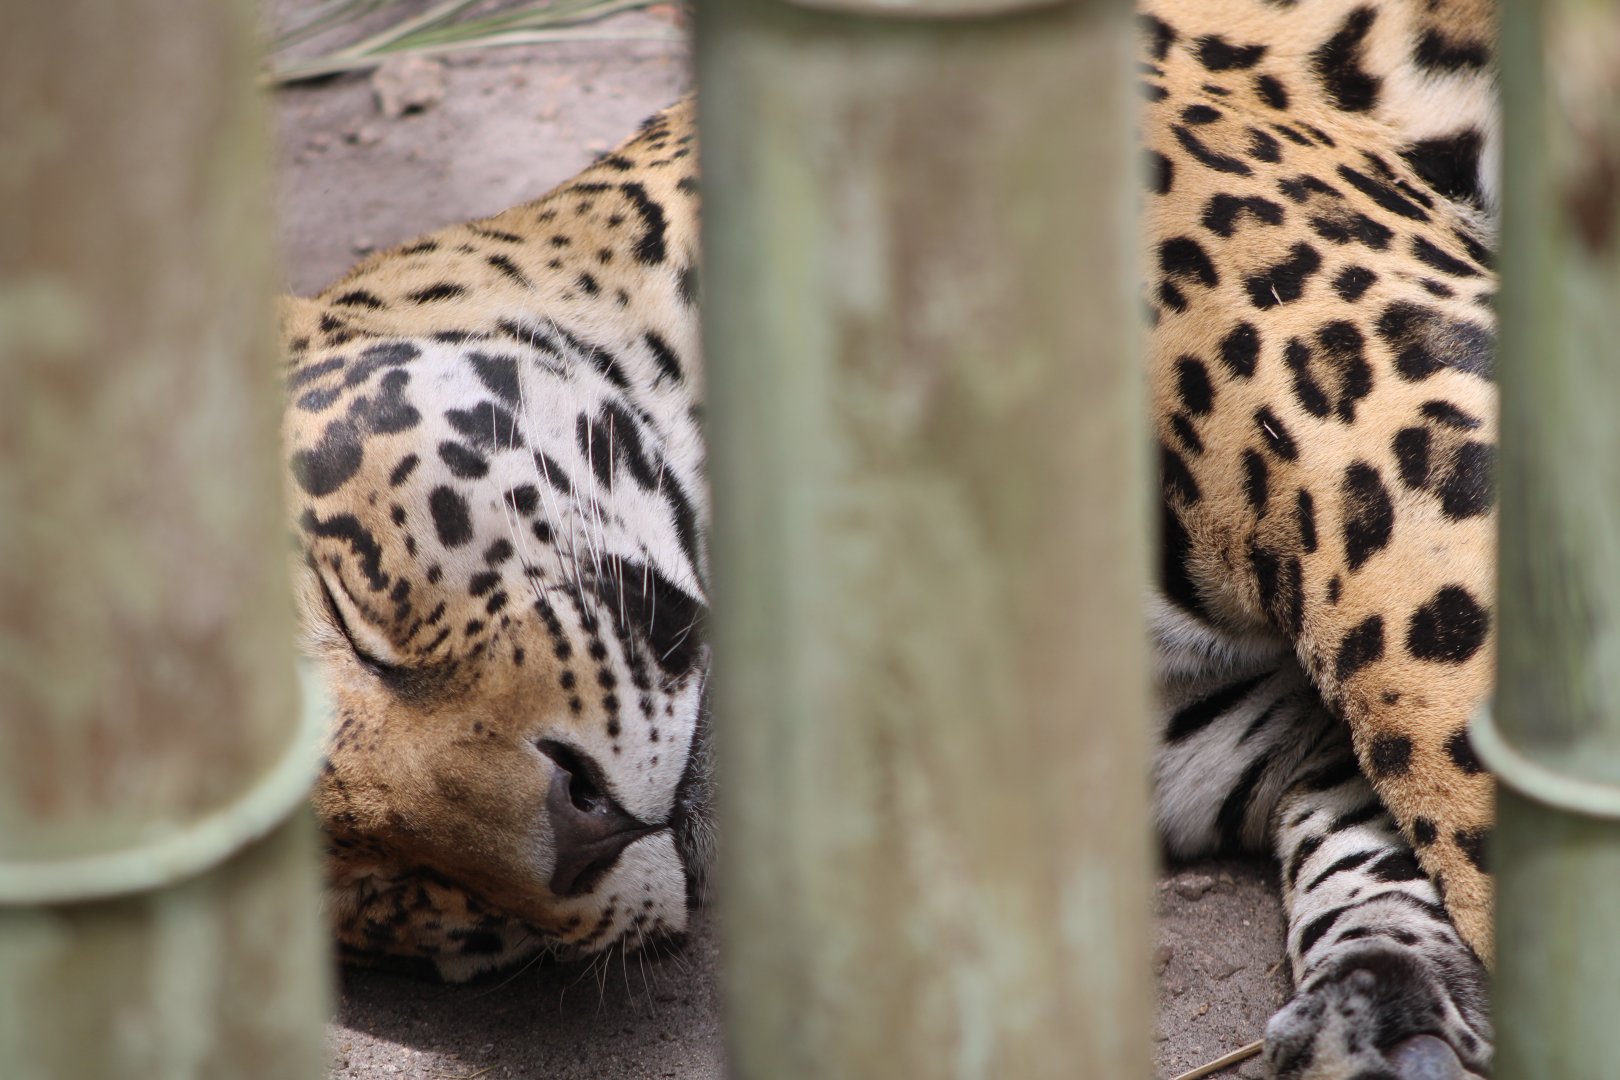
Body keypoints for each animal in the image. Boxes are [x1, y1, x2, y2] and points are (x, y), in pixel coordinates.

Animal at [280, 0, 1500, 1076]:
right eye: (394, 892)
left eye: (354, 605)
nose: (574, 834)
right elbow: (1383, 794)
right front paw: (1390, 1003)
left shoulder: (1387, 408)